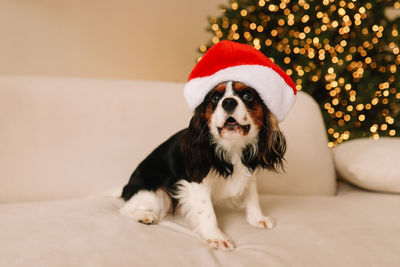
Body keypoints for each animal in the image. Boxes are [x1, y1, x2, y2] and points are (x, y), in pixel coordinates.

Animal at [119, 80, 288, 251]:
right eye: (215, 98)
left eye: (247, 95)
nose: (228, 102)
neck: (232, 147)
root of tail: (126, 188)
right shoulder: (197, 182)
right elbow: (207, 211)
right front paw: (217, 237)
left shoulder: (249, 173)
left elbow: (253, 196)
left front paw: (258, 218)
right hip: (156, 195)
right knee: (124, 209)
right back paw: (145, 215)